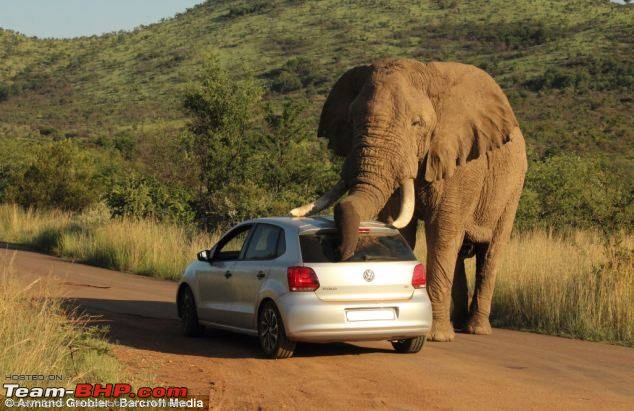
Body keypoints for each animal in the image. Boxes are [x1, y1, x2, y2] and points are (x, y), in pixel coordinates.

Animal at [288, 57, 524, 342]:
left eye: (416, 123)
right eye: (352, 121)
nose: (336, 252)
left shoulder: (462, 165)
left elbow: (441, 233)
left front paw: (435, 336)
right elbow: (403, 227)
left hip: (512, 188)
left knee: (488, 253)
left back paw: (475, 329)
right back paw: (457, 324)